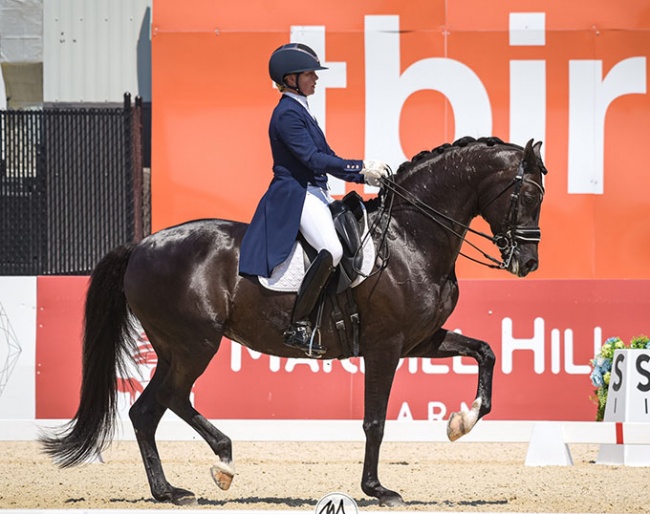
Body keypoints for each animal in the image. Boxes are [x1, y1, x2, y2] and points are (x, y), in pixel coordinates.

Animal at [40, 135, 548, 504]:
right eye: (526, 193)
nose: (528, 262)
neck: (409, 238)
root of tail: (142, 245)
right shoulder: (385, 345)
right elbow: (375, 421)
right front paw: (377, 490)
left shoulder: (419, 340)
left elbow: (485, 351)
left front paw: (463, 421)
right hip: (194, 344)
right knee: (159, 405)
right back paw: (203, 473)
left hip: (176, 348)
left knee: (156, 407)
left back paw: (186, 481)